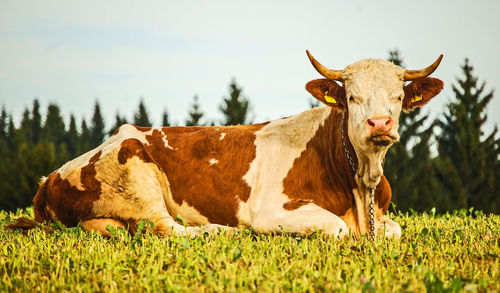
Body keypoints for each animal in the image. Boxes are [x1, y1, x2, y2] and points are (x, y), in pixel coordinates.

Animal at [31, 50, 444, 237]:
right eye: (352, 97)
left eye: (397, 97)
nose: (380, 123)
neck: (360, 184)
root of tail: (48, 179)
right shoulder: (273, 211)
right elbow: (337, 229)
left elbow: (394, 230)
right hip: (134, 171)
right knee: (170, 229)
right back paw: (226, 230)